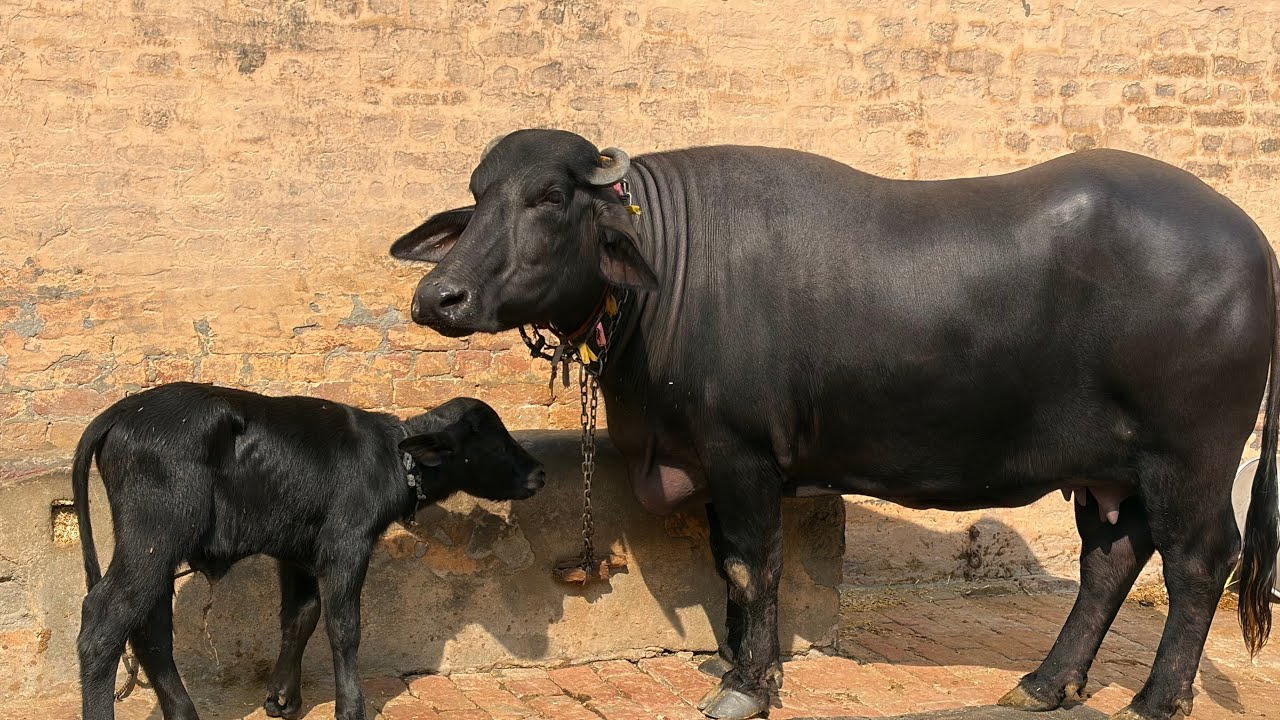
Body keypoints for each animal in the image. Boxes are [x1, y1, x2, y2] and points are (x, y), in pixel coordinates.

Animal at [73, 383, 545, 720]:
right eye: (498, 442)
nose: (539, 472)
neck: (393, 459)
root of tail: (123, 411)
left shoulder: (296, 553)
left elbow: (301, 616)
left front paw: (283, 698)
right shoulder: (347, 544)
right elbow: (344, 627)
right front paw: (350, 708)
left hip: (154, 548)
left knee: (149, 629)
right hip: (154, 537)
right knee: (105, 621)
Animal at [389, 128, 1280, 720]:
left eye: (547, 198)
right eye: (477, 197)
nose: (439, 297)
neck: (668, 276)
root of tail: (1253, 245)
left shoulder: (742, 455)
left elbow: (754, 565)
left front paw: (746, 685)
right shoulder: (713, 461)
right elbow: (728, 568)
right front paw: (738, 657)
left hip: (1188, 459)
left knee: (1198, 563)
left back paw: (1155, 700)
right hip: (1109, 472)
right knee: (1110, 560)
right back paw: (1045, 683)